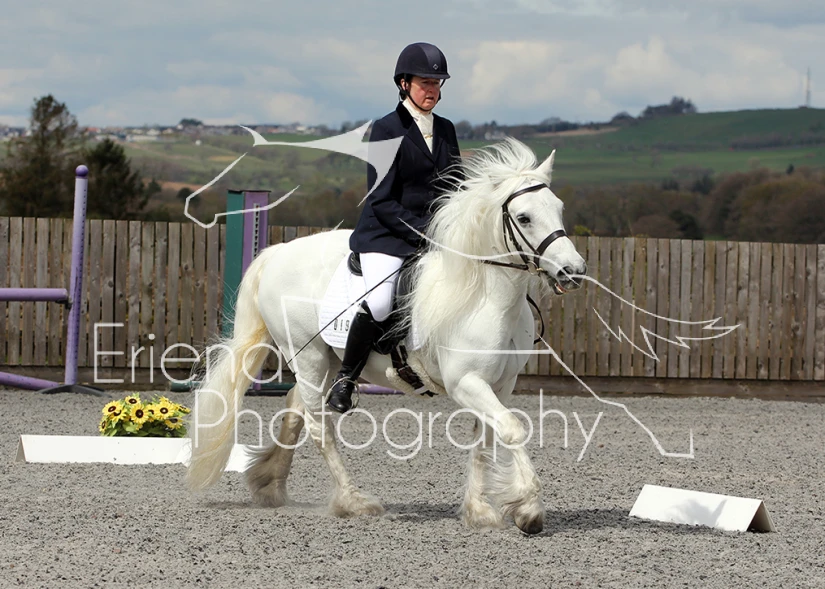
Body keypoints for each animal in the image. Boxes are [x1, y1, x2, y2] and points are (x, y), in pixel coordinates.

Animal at [185, 138, 587, 535]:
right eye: (524, 218)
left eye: (558, 208)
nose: (574, 271)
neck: (487, 297)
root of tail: (277, 253)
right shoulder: (466, 383)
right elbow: (512, 429)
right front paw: (529, 510)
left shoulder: (500, 385)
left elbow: (486, 439)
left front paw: (480, 511)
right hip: (307, 355)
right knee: (318, 425)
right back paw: (353, 502)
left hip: (326, 360)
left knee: (296, 407)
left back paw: (269, 484)